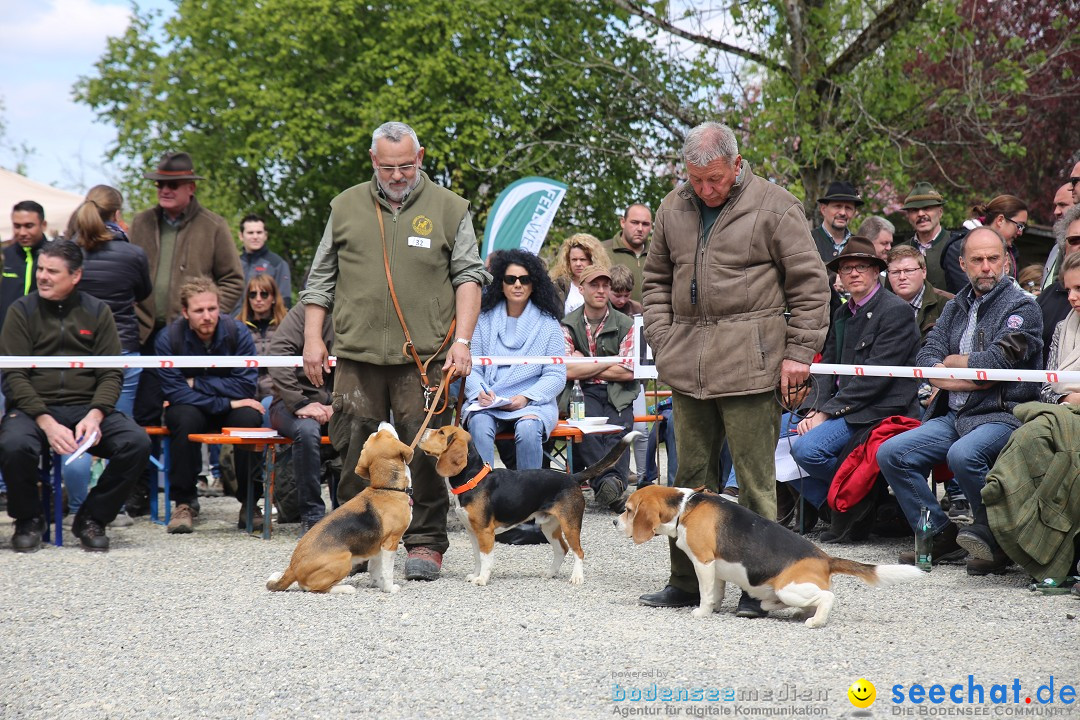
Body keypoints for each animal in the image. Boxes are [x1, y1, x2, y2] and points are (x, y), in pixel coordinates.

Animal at [263, 425, 410, 595]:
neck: (385, 488)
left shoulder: (377, 547)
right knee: (316, 589)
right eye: (383, 434)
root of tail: (293, 567)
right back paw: (346, 588)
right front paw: (389, 588)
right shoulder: (390, 542)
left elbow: (375, 569)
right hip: (345, 559)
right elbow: (386, 571)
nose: (381, 424)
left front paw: (378, 584)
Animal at [419, 425, 639, 587]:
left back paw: (577, 577)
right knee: (562, 549)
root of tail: (572, 477)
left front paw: (482, 579)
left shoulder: (484, 531)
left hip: (570, 524)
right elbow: (477, 557)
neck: (472, 480)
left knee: (578, 551)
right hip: (549, 526)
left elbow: (486, 558)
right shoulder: (472, 531)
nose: (424, 430)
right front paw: (475, 575)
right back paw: (550, 573)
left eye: (441, 432)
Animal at [617, 487, 920, 626]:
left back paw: (816, 620)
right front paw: (714, 607)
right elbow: (716, 591)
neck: (684, 508)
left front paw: (702, 612)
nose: (613, 522)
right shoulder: (717, 567)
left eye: (629, 510)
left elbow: (705, 592)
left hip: (789, 587)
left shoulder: (703, 562)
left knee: (827, 597)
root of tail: (826, 559)